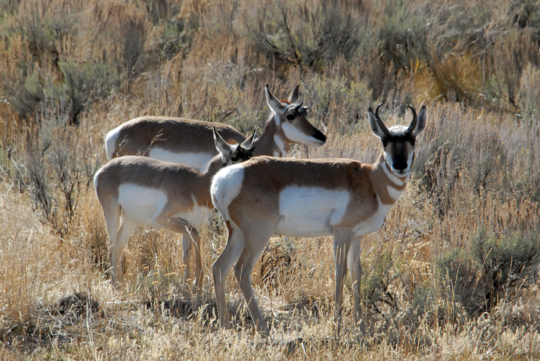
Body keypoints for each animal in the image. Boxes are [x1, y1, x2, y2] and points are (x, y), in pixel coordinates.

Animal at [94, 128, 256, 286]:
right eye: (234, 157)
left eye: (250, 155)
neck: (194, 184)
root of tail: (101, 171)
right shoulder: (166, 220)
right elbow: (196, 236)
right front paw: (197, 281)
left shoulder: (188, 225)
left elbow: (186, 255)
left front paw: (187, 286)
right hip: (112, 214)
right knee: (112, 247)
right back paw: (115, 285)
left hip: (130, 221)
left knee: (118, 247)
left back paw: (121, 284)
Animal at [211, 103, 426, 334]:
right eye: (384, 140)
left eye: (412, 139)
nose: (400, 165)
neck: (370, 179)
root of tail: (222, 180)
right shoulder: (341, 234)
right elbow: (340, 272)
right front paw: (338, 323)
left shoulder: (356, 236)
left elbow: (356, 273)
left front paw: (360, 324)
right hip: (257, 235)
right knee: (241, 271)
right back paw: (263, 328)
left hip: (237, 234)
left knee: (219, 267)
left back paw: (224, 325)